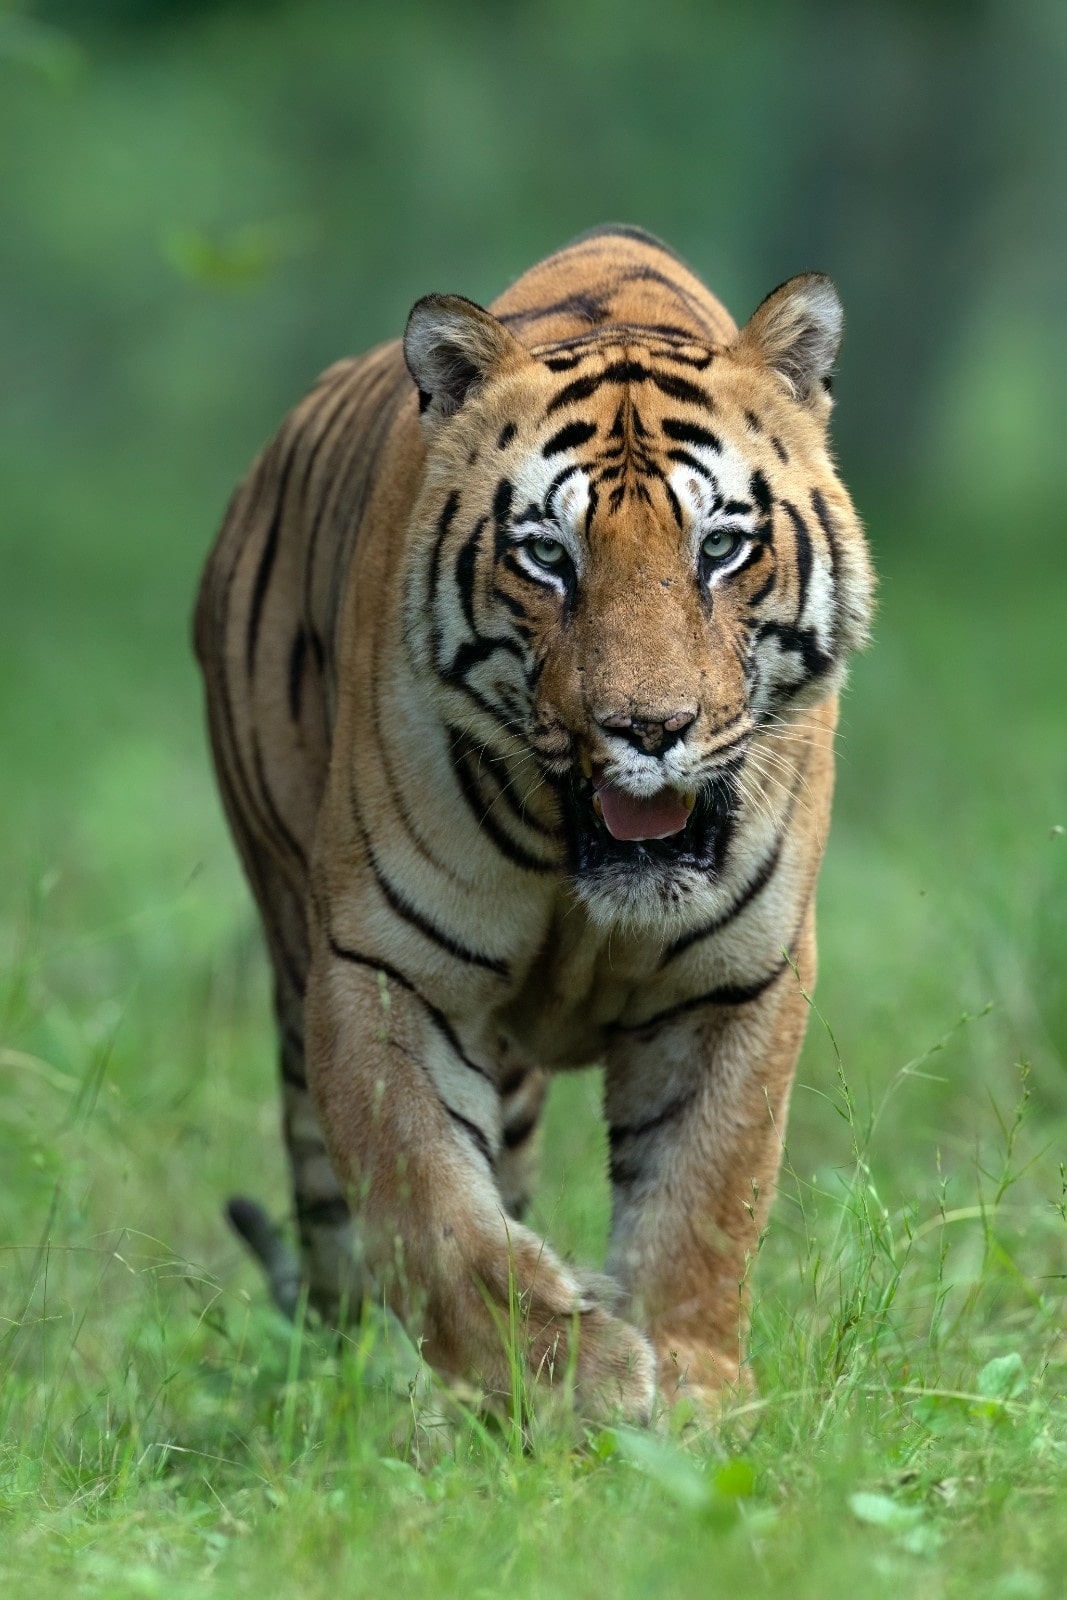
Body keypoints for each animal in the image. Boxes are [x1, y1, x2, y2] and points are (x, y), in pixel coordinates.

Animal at [194, 224, 875, 1422]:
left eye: (720, 548)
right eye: (548, 555)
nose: (648, 726)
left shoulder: (735, 976)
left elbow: (706, 1194)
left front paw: (689, 1395)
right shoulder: (385, 967)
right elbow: (433, 1210)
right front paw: (573, 1377)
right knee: (339, 1226)